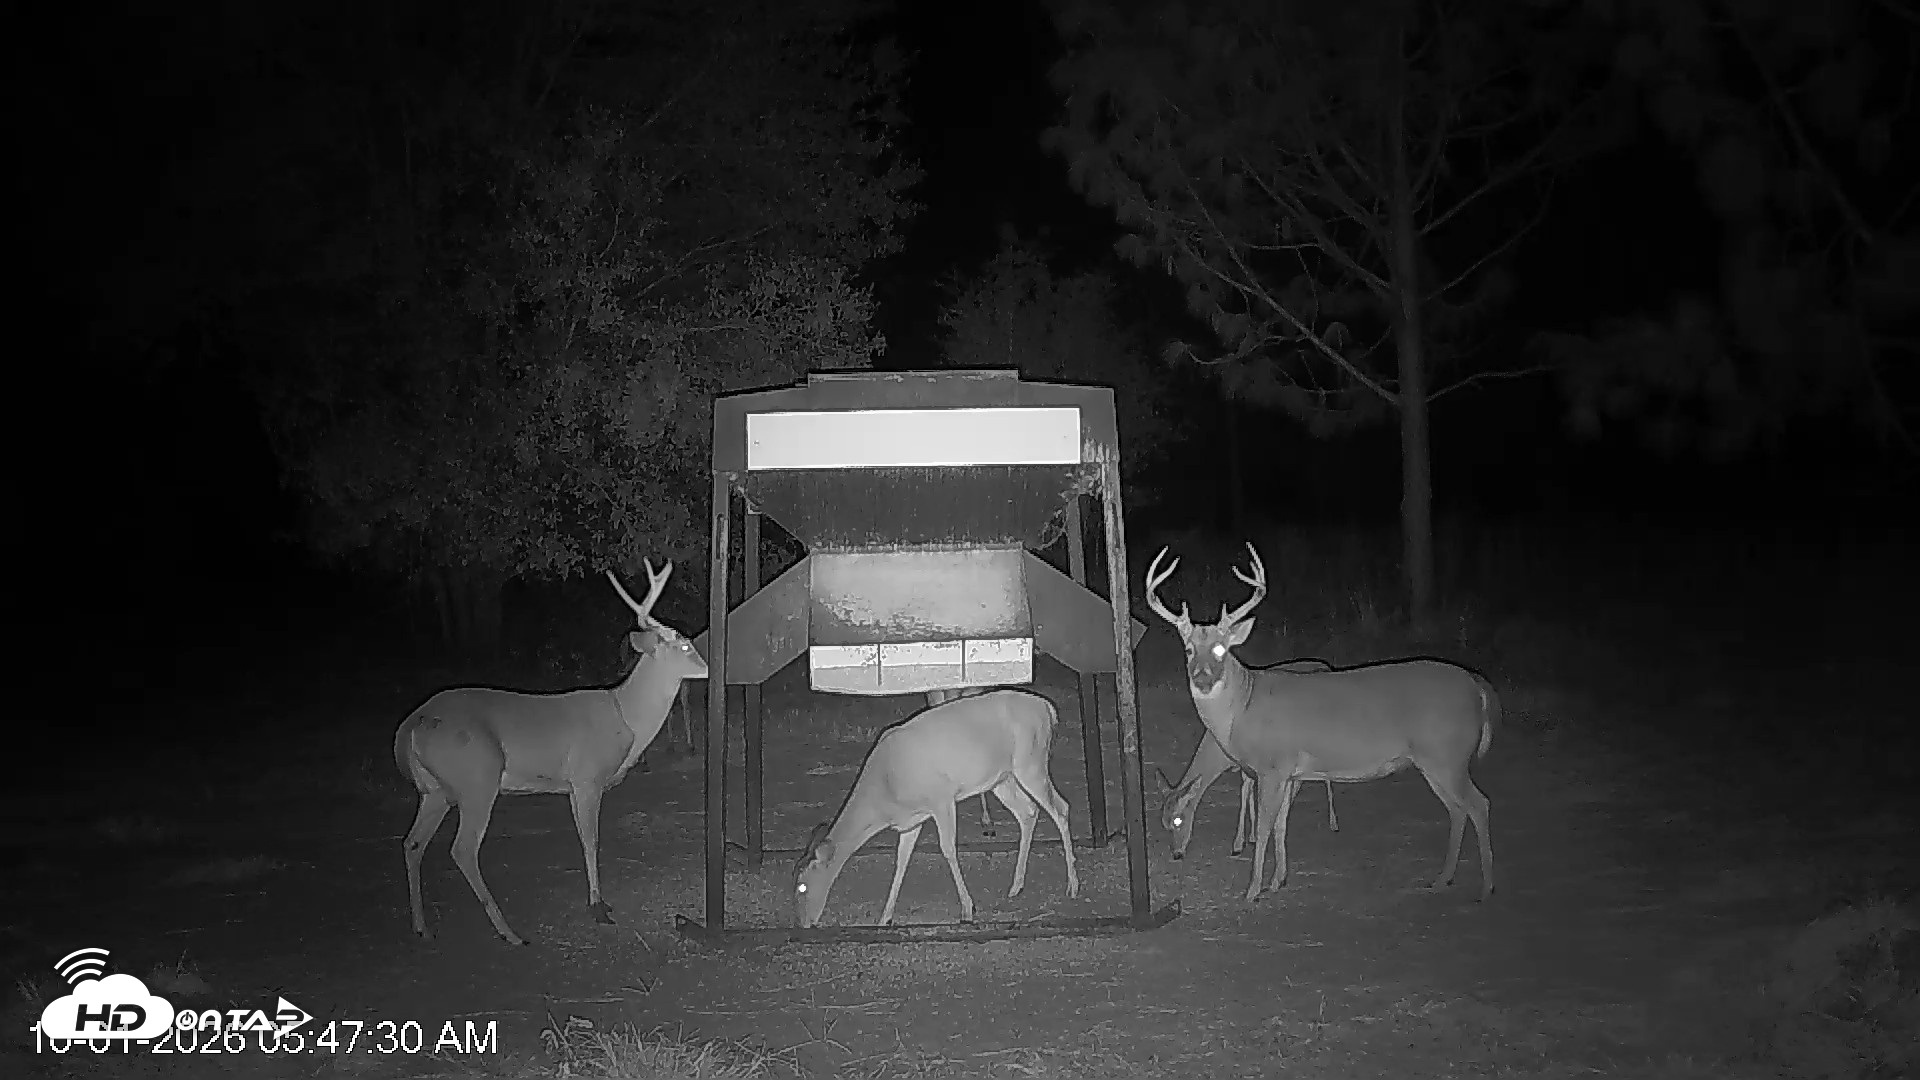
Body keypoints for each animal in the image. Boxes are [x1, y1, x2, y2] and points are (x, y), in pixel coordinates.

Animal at [395, 560, 708, 945]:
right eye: (684, 646)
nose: (709, 666)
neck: (625, 715)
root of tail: (411, 725)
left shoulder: (572, 785)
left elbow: (583, 837)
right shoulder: (587, 776)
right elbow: (591, 840)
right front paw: (598, 907)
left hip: (435, 789)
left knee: (412, 843)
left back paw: (422, 927)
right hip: (477, 776)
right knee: (463, 848)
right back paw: (510, 932)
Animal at [793, 688, 1079, 927]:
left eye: (801, 886)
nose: (803, 923)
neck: (886, 792)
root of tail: (1048, 708)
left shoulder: (941, 798)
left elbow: (948, 849)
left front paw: (967, 910)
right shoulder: (912, 820)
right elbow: (901, 860)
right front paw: (885, 918)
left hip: (1031, 762)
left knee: (1061, 807)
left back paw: (1073, 886)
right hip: (1002, 778)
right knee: (1028, 812)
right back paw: (1016, 886)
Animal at [1157, 658, 1339, 859]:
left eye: (1178, 820)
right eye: (1164, 823)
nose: (1176, 853)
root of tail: (1326, 666)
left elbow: (1246, 791)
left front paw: (1238, 843)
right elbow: (1247, 790)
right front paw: (1248, 838)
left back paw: (1333, 822)